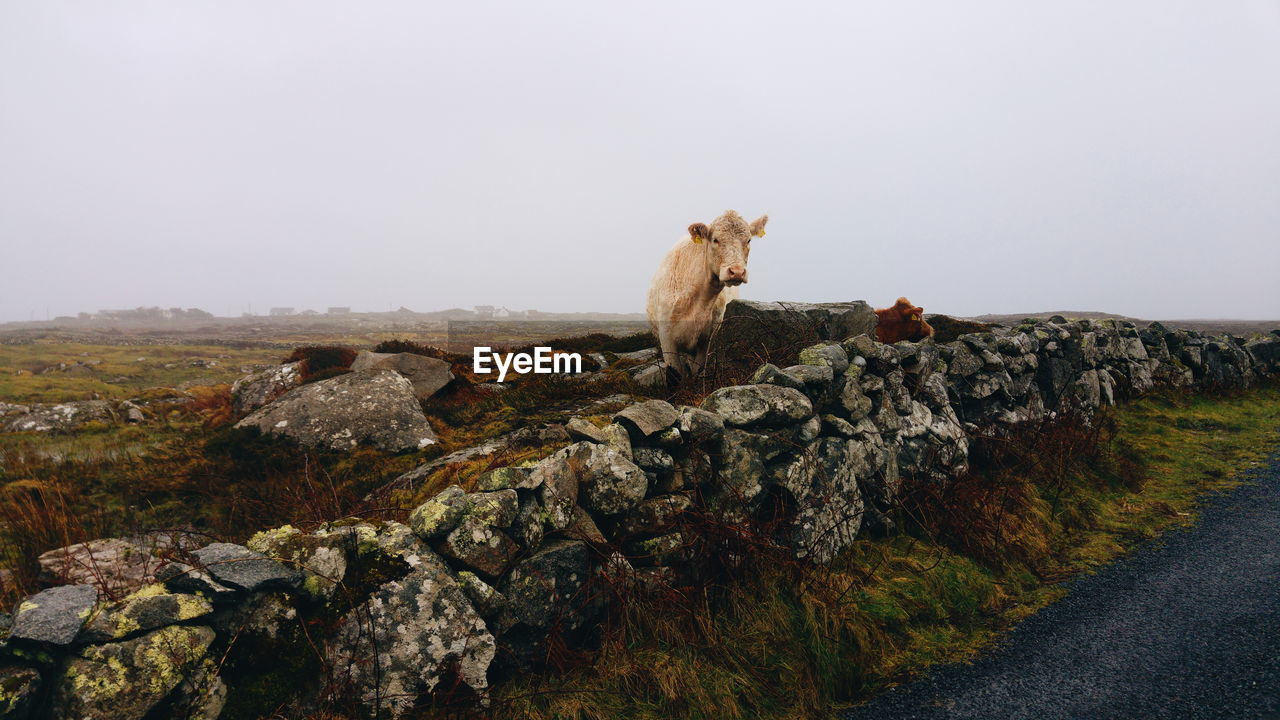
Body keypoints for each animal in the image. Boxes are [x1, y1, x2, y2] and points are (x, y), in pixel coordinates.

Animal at [645, 207, 762, 379]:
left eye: (748, 240)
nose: (737, 272)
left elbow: (698, 372)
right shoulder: (666, 339)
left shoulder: (706, 340)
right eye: (715, 240)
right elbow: (675, 375)